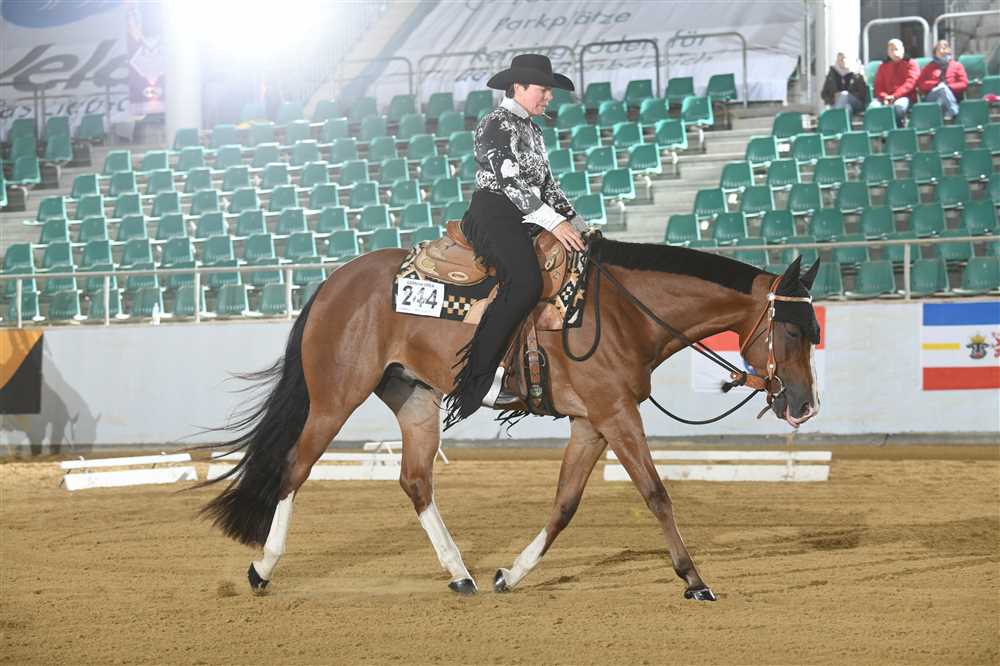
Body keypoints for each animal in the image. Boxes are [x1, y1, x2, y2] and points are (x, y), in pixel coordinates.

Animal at [200, 237, 821, 601]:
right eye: (792, 330)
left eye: (815, 330)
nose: (804, 406)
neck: (623, 312)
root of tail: (331, 283)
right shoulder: (616, 415)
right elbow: (656, 494)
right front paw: (694, 580)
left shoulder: (592, 422)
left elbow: (565, 504)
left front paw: (511, 574)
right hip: (335, 397)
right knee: (294, 468)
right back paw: (262, 568)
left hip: (415, 399)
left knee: (416, 481)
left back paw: (461, 573)